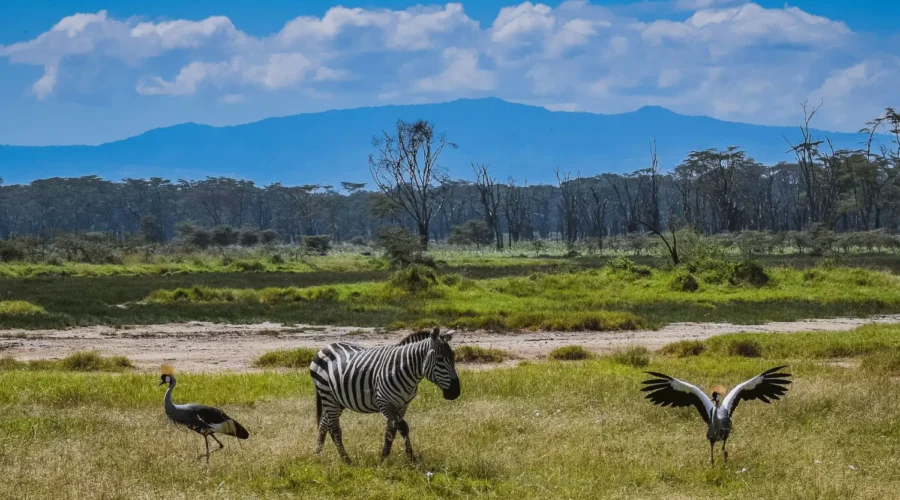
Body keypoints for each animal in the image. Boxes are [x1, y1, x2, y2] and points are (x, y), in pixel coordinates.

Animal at [309, 326, 461, 464]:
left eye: (453, 358)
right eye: (440, 359)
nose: (456, 392)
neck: (404, 370)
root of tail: (326, 347)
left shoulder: (403, 405)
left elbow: (391, 430)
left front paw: (384, 457)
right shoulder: (384, 402)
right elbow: (402, 427)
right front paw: (411, 457)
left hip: (336, 399)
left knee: (324, 424)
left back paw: (317, 453)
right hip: (327, 394)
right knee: (334, 429)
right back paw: (346, 460)